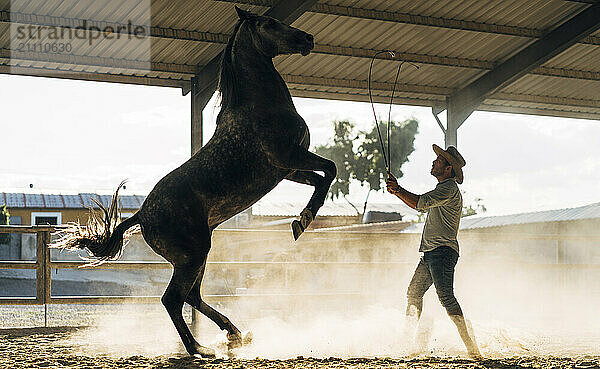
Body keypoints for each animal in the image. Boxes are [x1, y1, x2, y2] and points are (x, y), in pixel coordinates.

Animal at [52, 5, 338, 356]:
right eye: (270, 23)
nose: (307, 38)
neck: (258, 105)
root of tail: (142, 215)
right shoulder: (289, 157)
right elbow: (331, 169)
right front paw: (302, 221)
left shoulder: (288, 169)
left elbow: (323, 177)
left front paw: (301, 220)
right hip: (193, 255)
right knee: (174, 299)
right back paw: (200, 349)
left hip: (196, 255)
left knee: (192, 296)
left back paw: (233, 334)